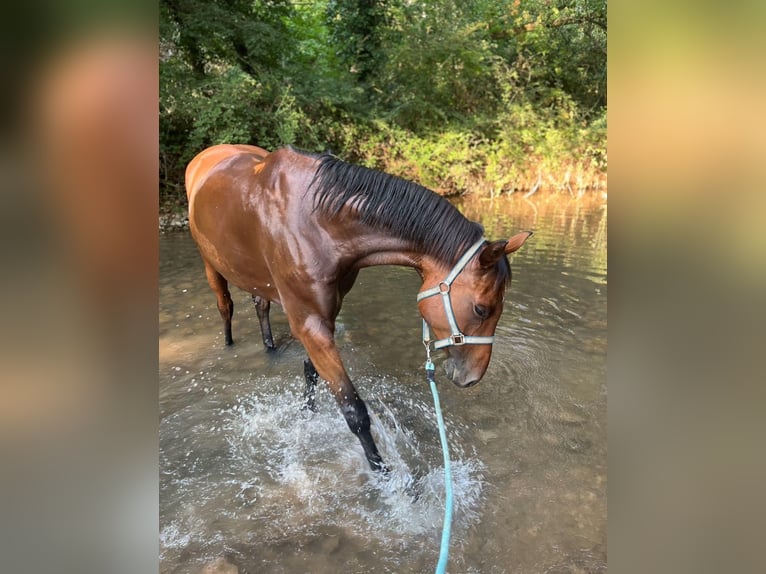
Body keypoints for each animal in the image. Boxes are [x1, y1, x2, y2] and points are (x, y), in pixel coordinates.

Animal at [185, 144, 531, 472]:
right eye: (482, 309)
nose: (472, 377)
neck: (316, 222)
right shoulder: (309, 322)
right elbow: (354, 409)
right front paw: (385, 476)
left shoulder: (326, 315)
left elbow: (310, 373)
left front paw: (308, 417)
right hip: (210, 265)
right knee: (226, 307)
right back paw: (229, 342)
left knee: (260, 305)